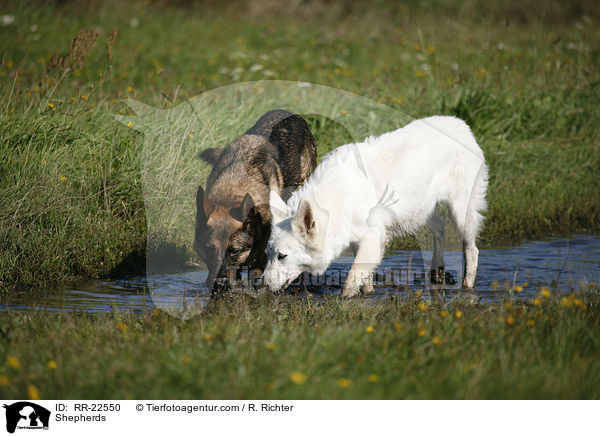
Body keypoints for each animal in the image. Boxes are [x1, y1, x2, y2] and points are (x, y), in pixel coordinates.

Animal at [262, 116, 488, 296]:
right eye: (267, 254)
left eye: (282, 256)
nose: (261, 286)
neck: (338, 199)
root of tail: (463, 125)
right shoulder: (360, 240)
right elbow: (365, 278)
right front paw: (368, 294)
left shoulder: (372, 237)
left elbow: (352, 279)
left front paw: (345, 301)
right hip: (420, 212)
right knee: (440, 228)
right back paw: (436, 272)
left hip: (461, 214)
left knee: (473, 250)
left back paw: (468, 286)